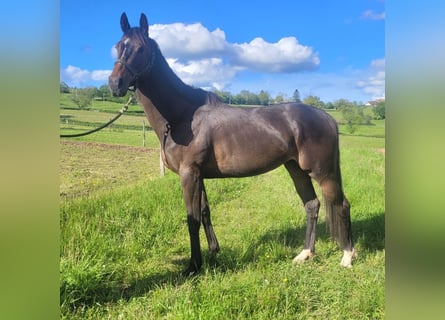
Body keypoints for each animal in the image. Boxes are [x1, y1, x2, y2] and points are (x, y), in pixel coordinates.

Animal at [107, 13, 354, 276]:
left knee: (342, 204)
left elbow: (192, 219)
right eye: (118, 46)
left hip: (322, 172)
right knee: (312, 205)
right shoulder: (198, 175)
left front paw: (193, 266)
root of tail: (327, 118)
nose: (115, 83)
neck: (183, 117)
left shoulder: (189, 174)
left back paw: (347, 257)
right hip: (296, 169)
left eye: (141, 48)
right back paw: (304, 254)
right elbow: (204, 212)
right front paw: (213, 252)